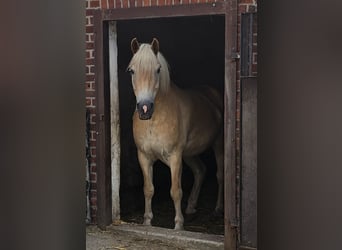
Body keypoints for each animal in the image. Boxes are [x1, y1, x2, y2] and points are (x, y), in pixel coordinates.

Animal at [127, 37, 223, 230]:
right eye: (132, 70)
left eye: (158, 70)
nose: (144, 109)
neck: (154, 121)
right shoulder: (144, 156)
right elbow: (148, 189)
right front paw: (147, 221)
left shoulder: (175, 156)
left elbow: (176, 191)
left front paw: (178, 226)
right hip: (190, 154)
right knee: (200, 171)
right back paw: (191, 207)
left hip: (217, 144)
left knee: (220, 175)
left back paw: (217, 209)